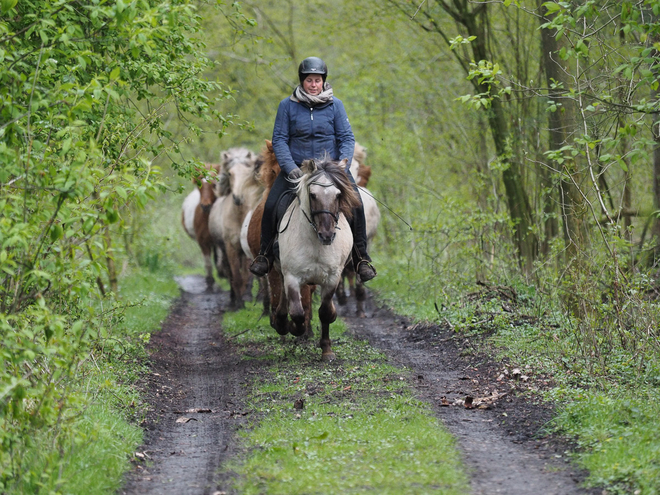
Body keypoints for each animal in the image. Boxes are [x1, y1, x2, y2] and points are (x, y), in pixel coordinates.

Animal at [272, 157, 360, 362]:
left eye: (338, 195)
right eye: (312, 195)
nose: (327, 235)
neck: (315, 243)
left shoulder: (332, 278)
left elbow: (325, 312)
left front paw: (327, 350)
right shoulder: (292, 277)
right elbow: (297, 312)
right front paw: (296, 328)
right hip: (282, 270)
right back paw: (281, 322)